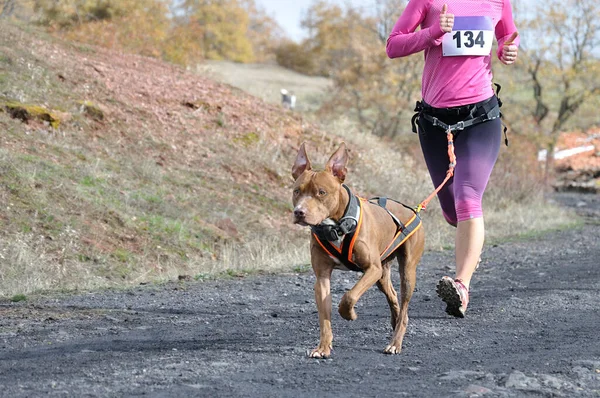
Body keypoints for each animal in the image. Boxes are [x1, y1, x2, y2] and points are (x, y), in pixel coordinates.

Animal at [292, 141, 424, 356]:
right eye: (297, 191)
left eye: (321, 192)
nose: (299, 212)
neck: (336, 226)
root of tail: (412, 210)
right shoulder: (322, 278)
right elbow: (324, 318)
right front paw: (323, 347)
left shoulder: (372, 269)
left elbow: (349, 296)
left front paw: (350, 314)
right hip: (382, 275)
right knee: (393, 297)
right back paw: (395, 322)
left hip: (406, 271)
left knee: (404, 304)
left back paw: (395, 342)